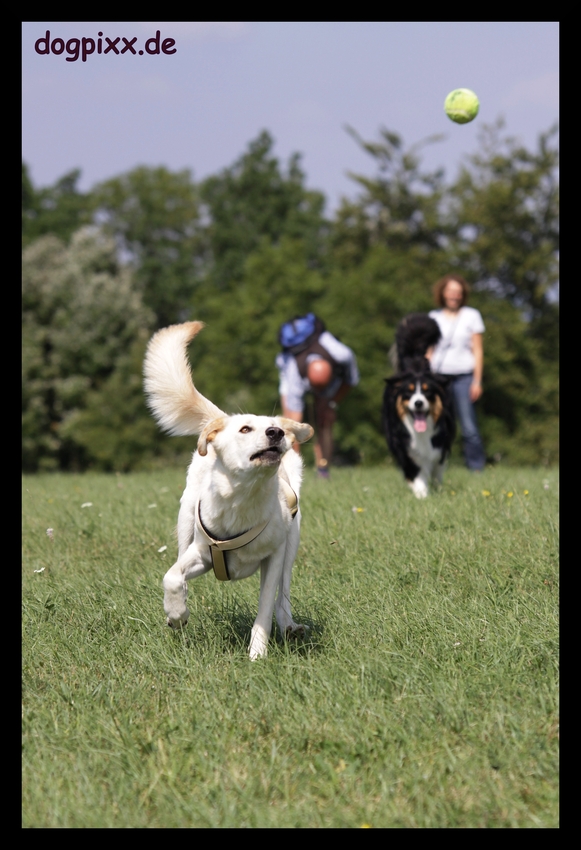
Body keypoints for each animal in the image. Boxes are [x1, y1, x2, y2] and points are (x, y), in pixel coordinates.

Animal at [142, 322, 312, 660]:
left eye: (277, 429)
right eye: (245, 429)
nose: (276, 432)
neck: (242, 498)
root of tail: (221, 416)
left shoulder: (274, 558)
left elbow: (265, 609)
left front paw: (257, 655)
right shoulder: (202, 554)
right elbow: (171, 576)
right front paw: (177, 614)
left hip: (293, 539)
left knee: (283, 595)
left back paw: (290, 626)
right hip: (184, 523)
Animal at [382, 314, 456, 496]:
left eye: (427, 391)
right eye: (408, 393)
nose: (418, 403)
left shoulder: (441, 445)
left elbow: (437, 466)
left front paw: (435, 488)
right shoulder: (404, 447)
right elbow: (415, 473)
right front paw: (422, 495)